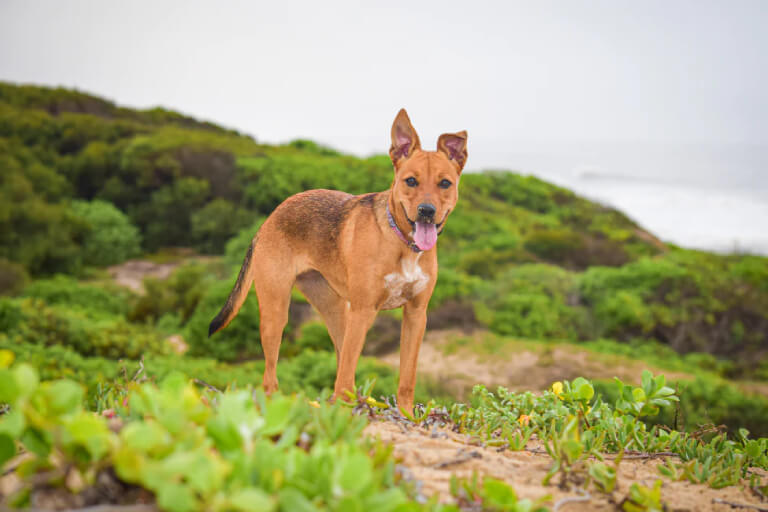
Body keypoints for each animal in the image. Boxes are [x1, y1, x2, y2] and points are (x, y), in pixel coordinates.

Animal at [207, 110, 464, 414]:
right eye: (410, 181)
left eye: (445, 183)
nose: (427, 211)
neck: (402, 242)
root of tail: (268, 220)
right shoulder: (363, 310)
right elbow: (347, 371)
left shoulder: (416, 315)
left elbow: (406, 378)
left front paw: (406, 415)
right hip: (278, 313)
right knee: (272, 377)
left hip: (336, 311)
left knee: (342, 366)